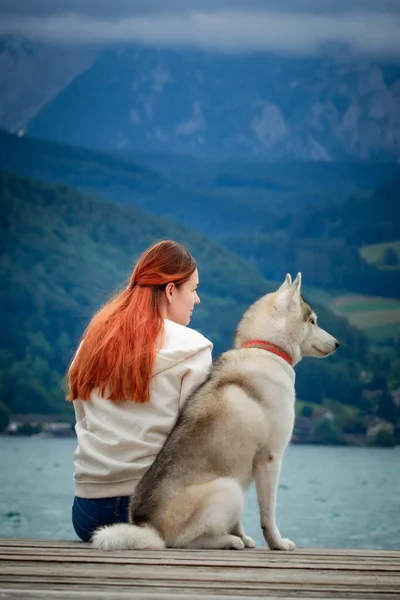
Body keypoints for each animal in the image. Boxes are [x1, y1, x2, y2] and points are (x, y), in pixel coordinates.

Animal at [92, 274, 340, 552]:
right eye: (312, 321)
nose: (338, 343)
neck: (264, 348)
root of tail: (148, 526)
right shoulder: (270, 459)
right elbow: (268, 515)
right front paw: (276, 543)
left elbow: (239, 520)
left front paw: (245, 536)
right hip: (228, 489)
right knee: (185, 542)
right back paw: (228, 541)